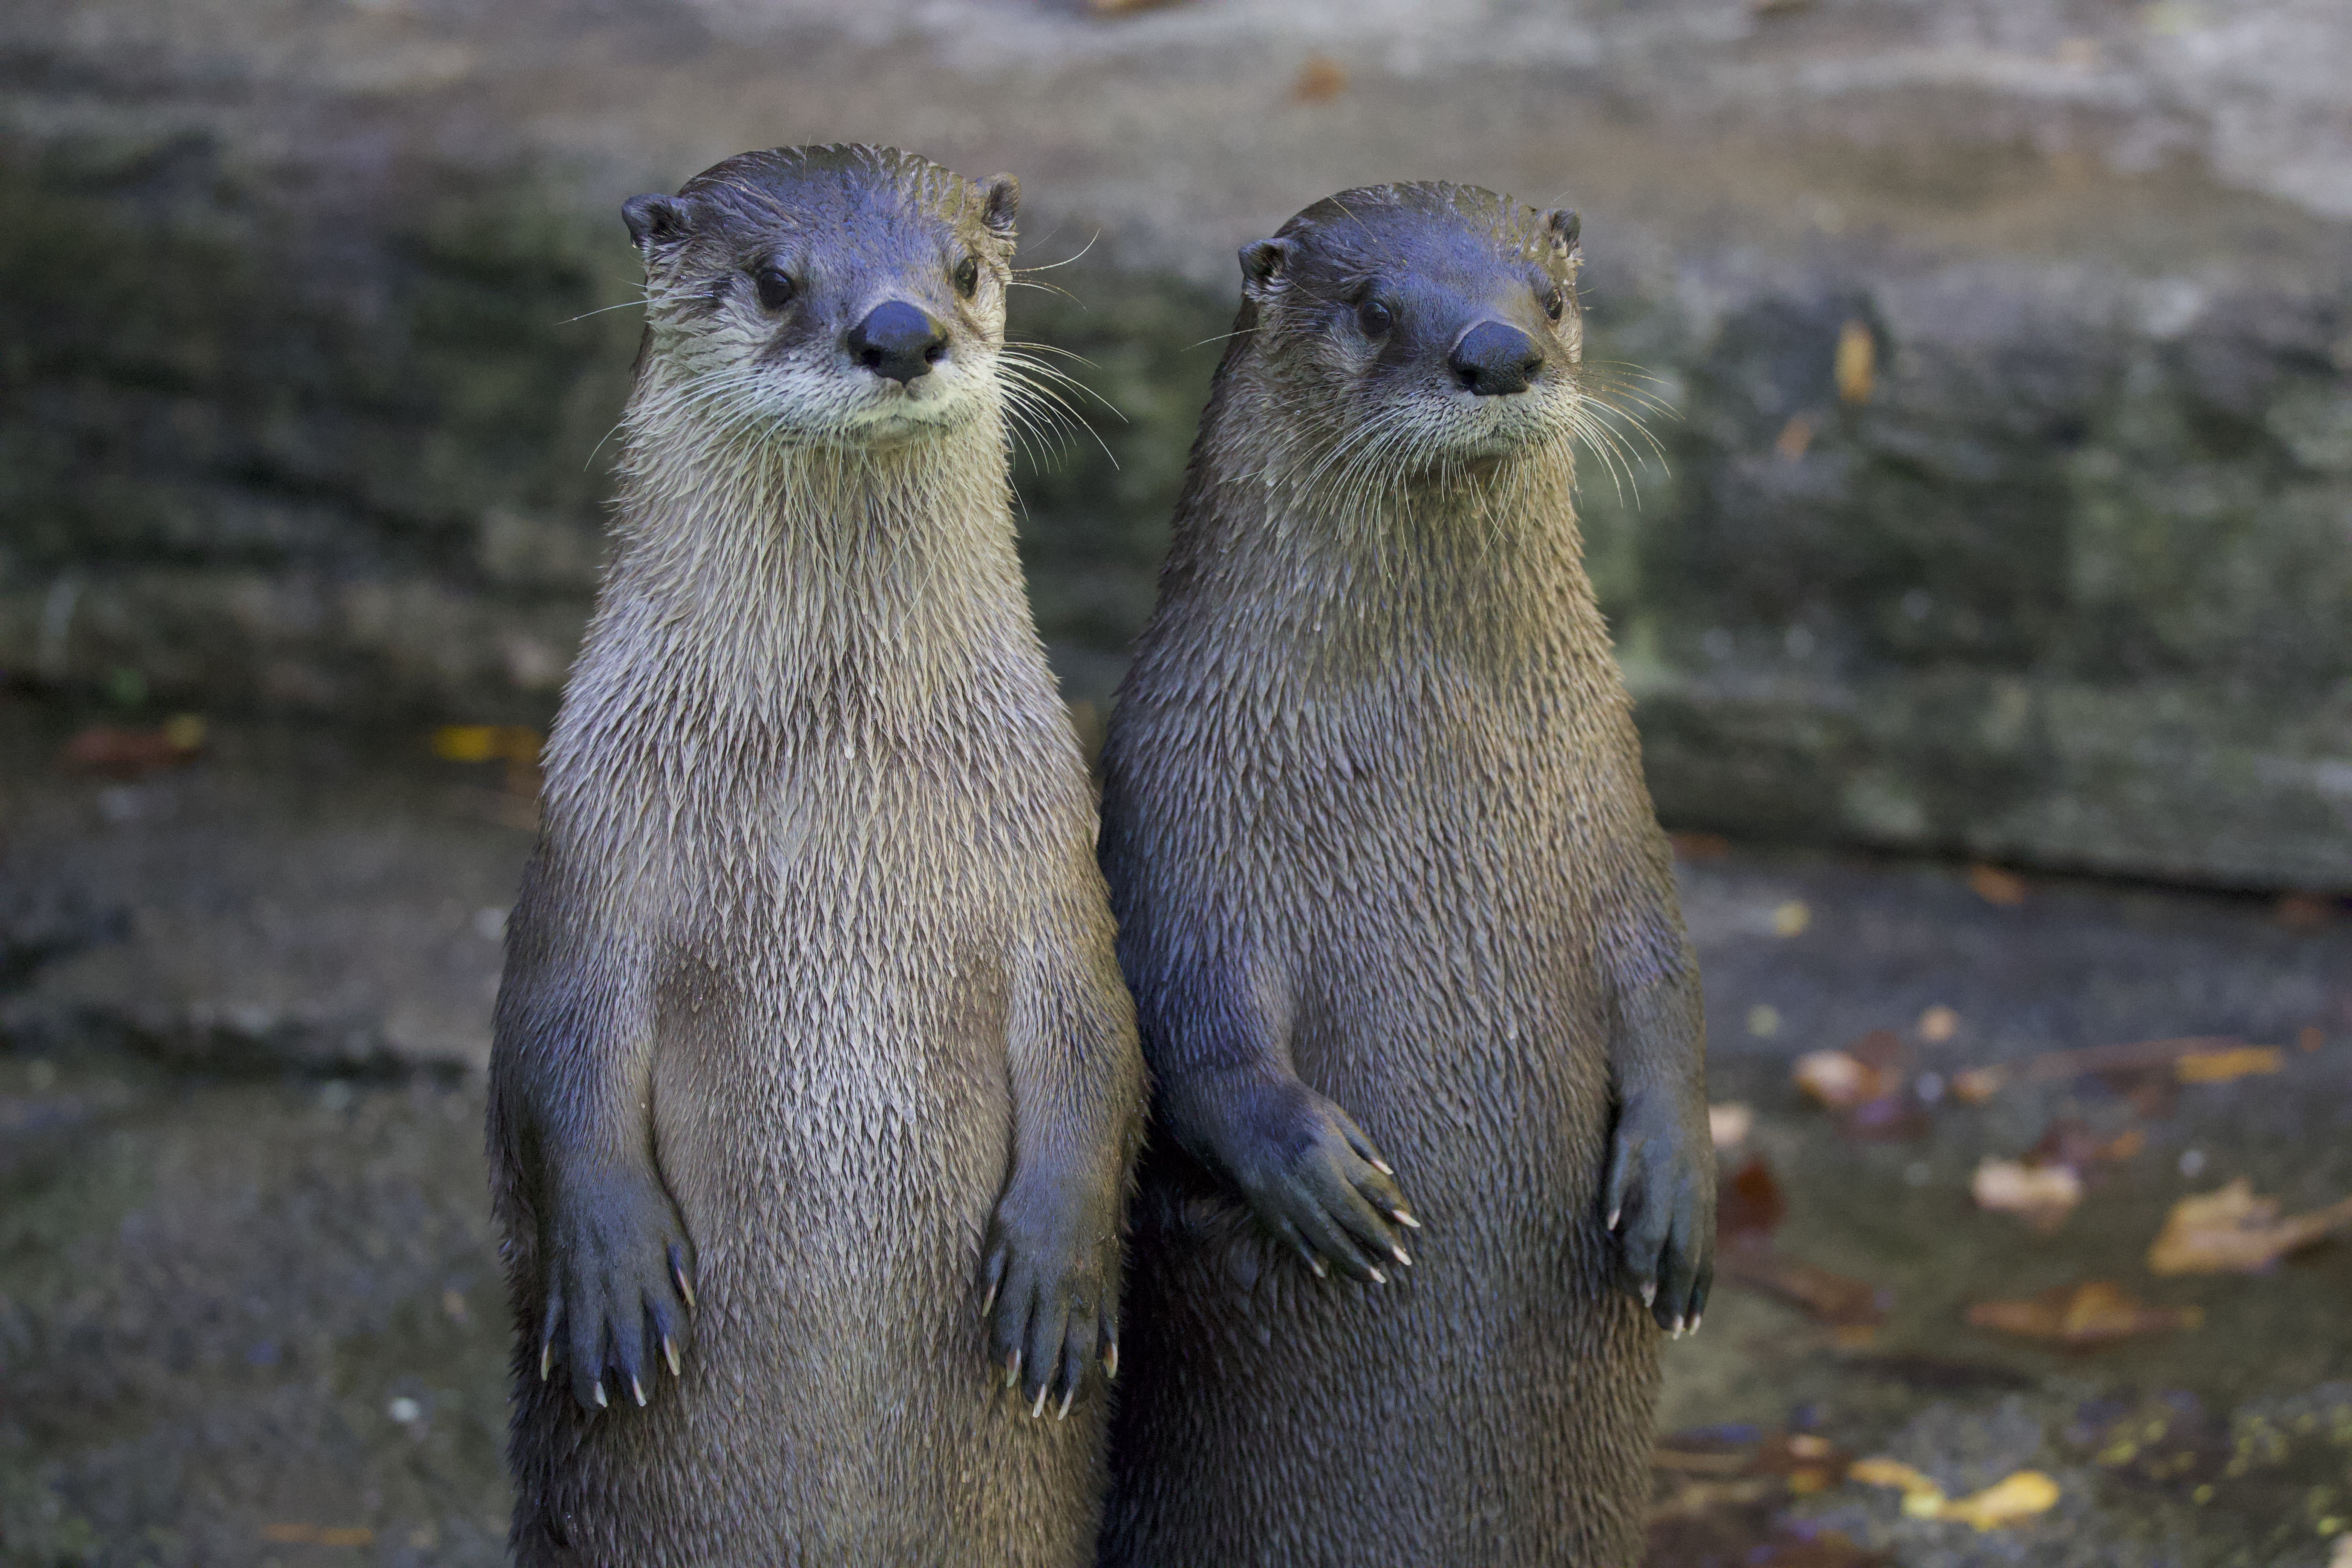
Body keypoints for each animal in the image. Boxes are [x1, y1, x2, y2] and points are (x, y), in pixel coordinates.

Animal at [485, 145, 1145, 1568]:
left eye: (961, 268)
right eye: (777, 279)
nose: (901, 331)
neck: (829, 763)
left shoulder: (1051, 858)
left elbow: (1100, 1038)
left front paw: (1059, 1275)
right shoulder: (591, 842)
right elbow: (555, 1040)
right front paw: (613, 1271)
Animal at [1094, 183, 1715, 1566]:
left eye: (1550, 294)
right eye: (1376, 309)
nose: (1499, 351)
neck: (1422, 747)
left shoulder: (1615, 807)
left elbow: (1666, 982)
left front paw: (1681, 1187)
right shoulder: (1174, 801)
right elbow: (1181, 1018)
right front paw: (1312, 1171)